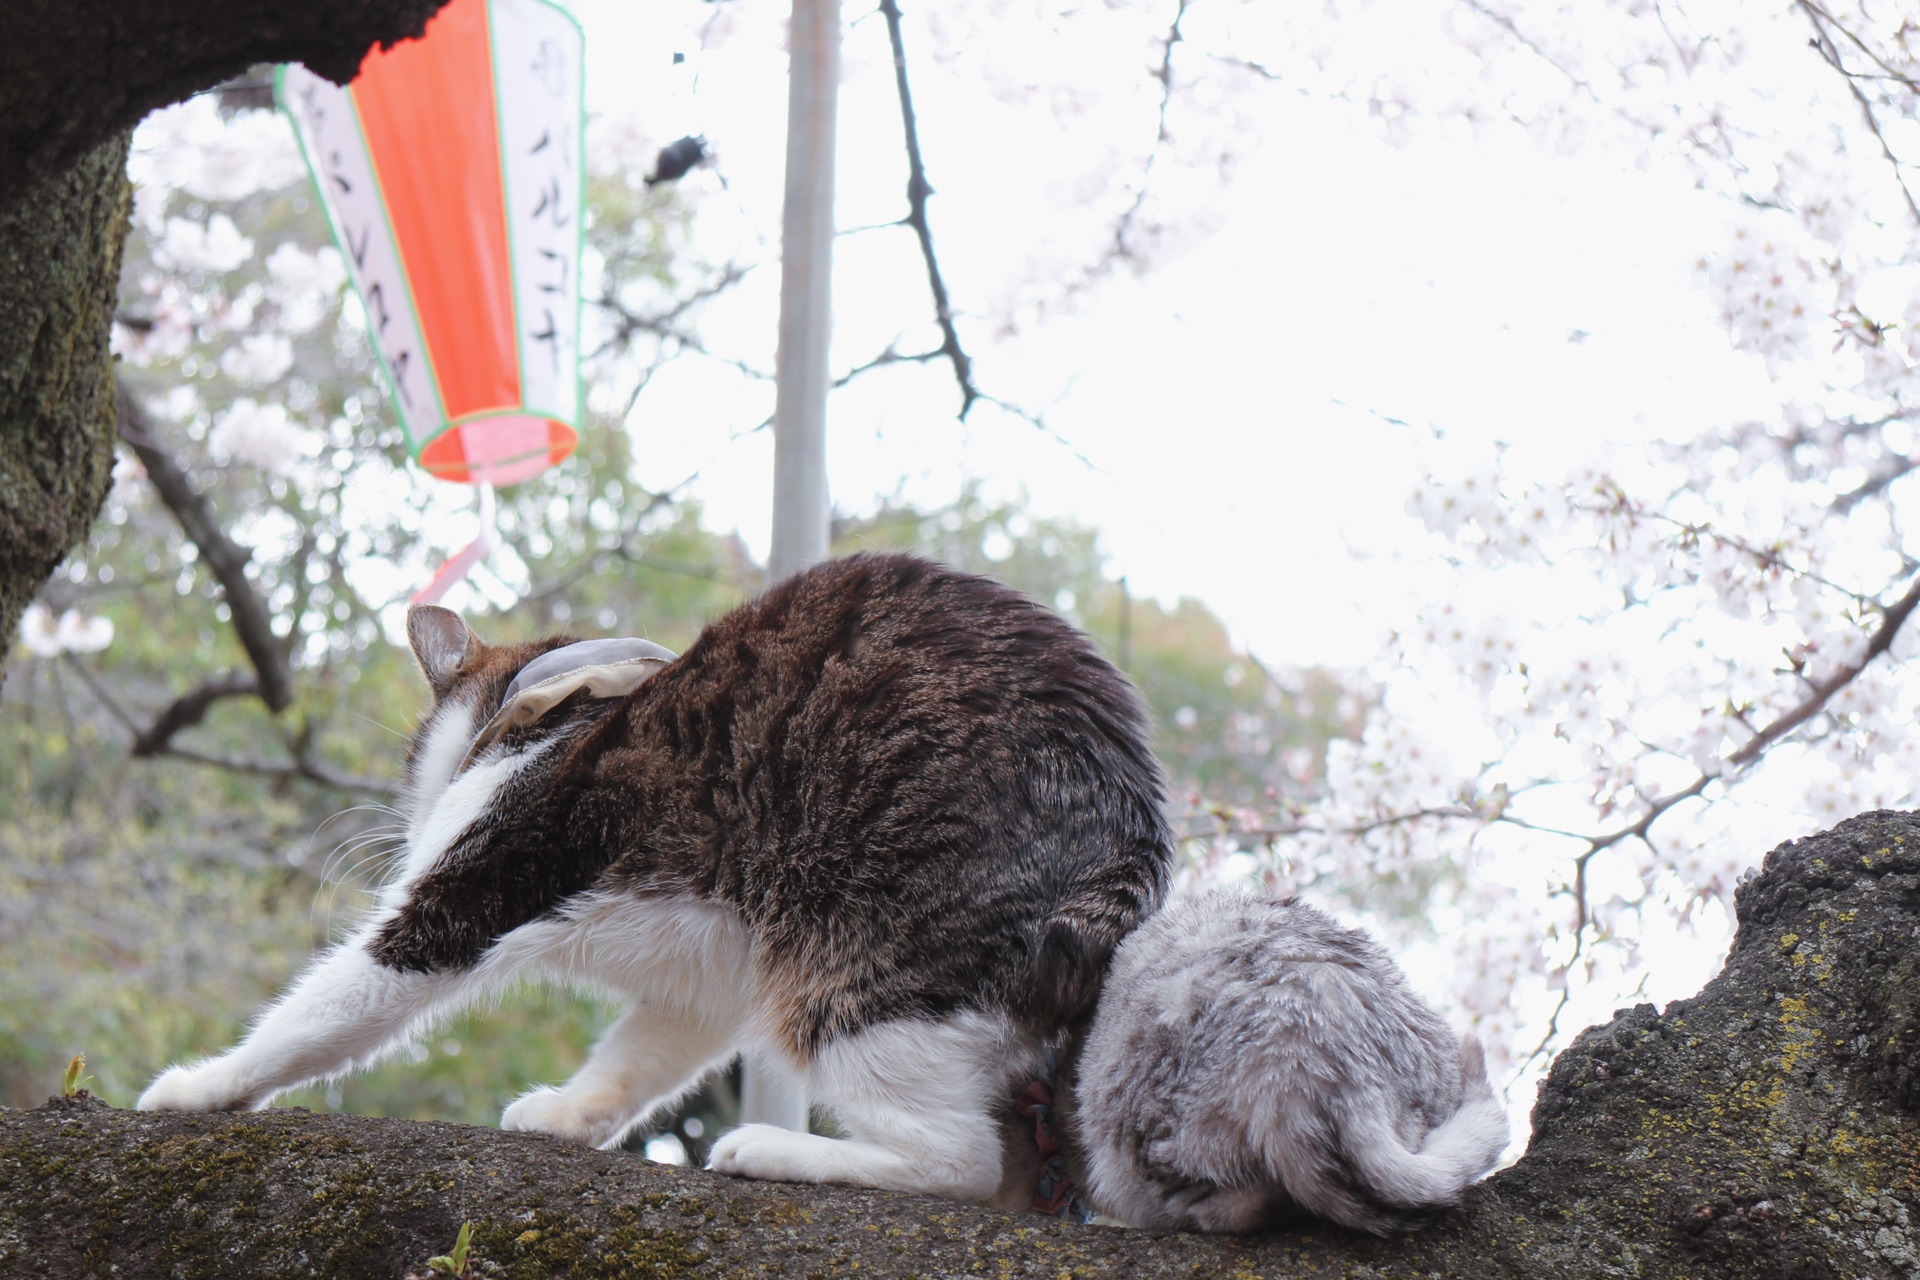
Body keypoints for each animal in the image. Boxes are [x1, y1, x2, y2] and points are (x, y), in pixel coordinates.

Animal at [139, 556, 1167, 1205]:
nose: (409, 813)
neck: (554, 716)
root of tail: (1131, 838)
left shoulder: (468, 894)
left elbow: (323, 1013)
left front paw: (202, 1087)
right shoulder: (712, 974)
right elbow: (641, 1053)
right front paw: (569, 1114)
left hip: (862, 972)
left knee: (960, 1162)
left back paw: (772, 1151)